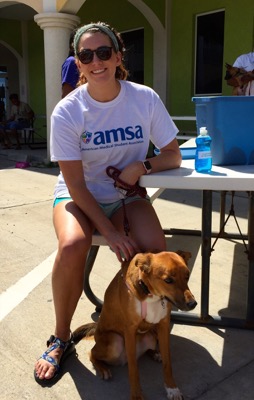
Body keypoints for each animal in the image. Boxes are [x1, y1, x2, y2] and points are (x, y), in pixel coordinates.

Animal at [73, 252, 196, 398]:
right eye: (168, 280)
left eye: (187, 276)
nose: (193, 304)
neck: (150, 293)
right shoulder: (130, 330)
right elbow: (133, 369)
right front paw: (137, 395)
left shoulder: (163, 326)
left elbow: (168, 363)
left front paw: (172, 388)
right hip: (115, 342)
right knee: (92, 352)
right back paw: (103, 368)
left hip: (151, 336)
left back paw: (155, 353)